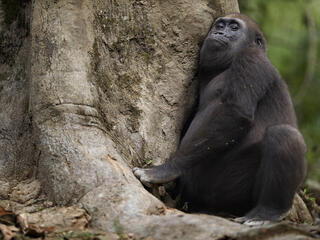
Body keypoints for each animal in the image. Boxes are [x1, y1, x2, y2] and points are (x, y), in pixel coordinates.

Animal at [133, 13, 308, 225]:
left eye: (234, 27)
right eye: (220, 25)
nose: (219, 33)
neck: (226, 66)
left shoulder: (252, 58)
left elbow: (235, 112)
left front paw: (167, 169)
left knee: (285, 135)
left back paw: (269, 211)